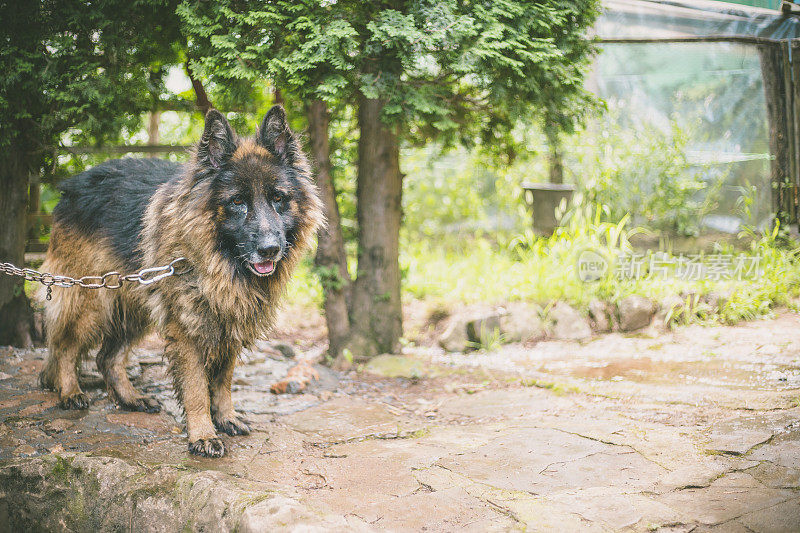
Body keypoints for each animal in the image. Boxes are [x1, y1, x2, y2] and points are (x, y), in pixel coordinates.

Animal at [39, 107, 322, 458]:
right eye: (237, 202)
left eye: (278, 198)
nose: (270, 249)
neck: (218, 261)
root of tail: (72, 185)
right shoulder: (187, 329)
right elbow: (197, 387)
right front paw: (203, 434)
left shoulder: (229, 323)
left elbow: (223, 381)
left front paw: (225, 417)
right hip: (91, 299)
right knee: (65, 345)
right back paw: (69, 391)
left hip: (135, 304)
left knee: (108, 357)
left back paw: (131, 398)